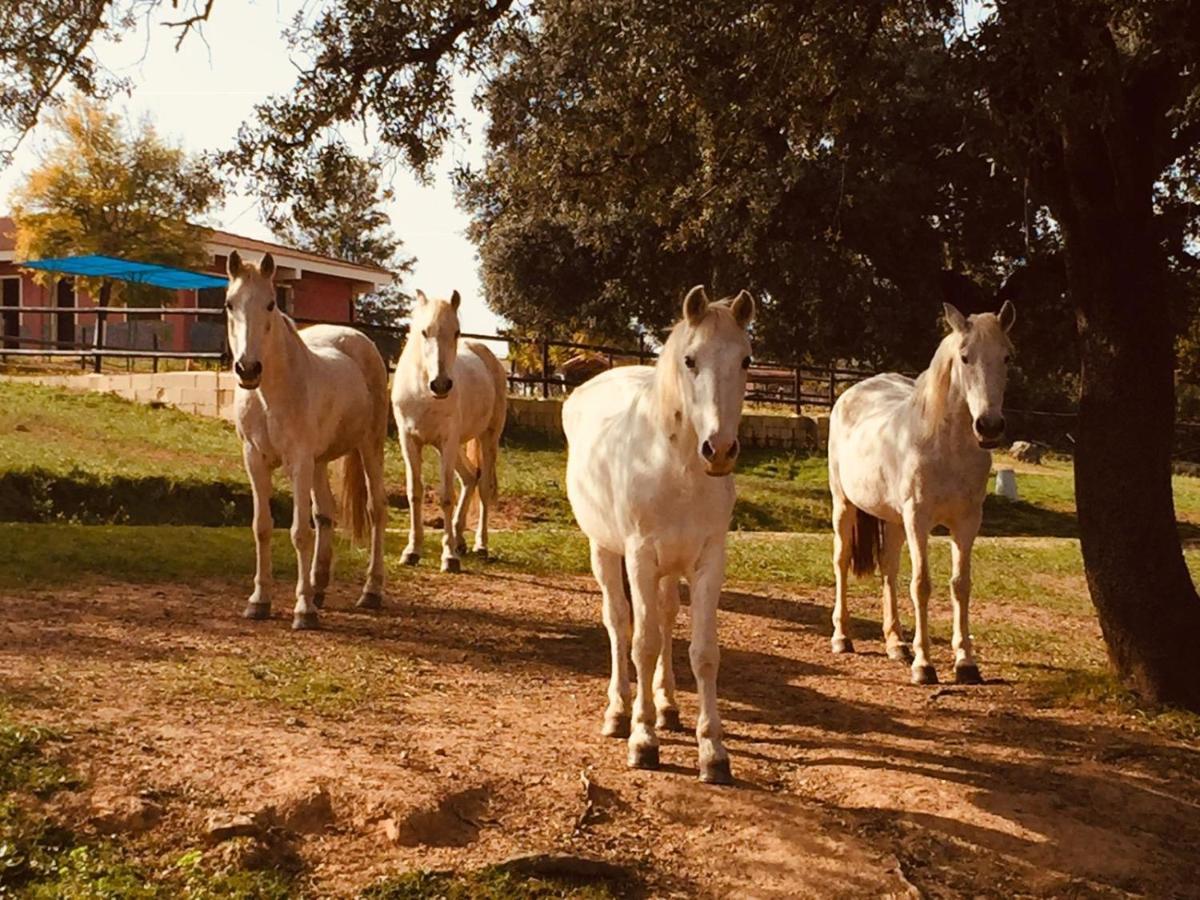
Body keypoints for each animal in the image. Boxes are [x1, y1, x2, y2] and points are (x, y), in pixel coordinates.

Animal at [225, 250, 388, 628]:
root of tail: (358, 340)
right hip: (319, 462)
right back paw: (319, 586)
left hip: (369, 446)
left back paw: (370, 591)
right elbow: (262, 527)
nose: (247, 369)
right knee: (325, 513)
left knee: (376, 510)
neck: (270, 394)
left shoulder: (298, 461)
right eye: (229, 304)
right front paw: (259, 601)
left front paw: (303, 611)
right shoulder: (255, 459)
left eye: (271, 303)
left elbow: (299, 532)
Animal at [393, 292, 506, 573]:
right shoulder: (409, 441)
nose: (441, 384)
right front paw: (412, 551)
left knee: (483, 486)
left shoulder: (448, 440)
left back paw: (480, 545)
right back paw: (460, 540)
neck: (422, 391)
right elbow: (415, 492)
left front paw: (449, 557)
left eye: (456, 332)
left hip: (487, 438)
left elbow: (446, 496)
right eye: (424, 331)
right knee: (469, 478)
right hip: (451, 448)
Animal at [566, 285, 753, 787]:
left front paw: (713, 752)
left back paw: (668, 707)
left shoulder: (708, 562)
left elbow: (703, 652)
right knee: (619, 623)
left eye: (746, 360)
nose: (719, 450)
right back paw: (618, 713)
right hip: (605, 552)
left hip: (670, 568)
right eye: (690, 359)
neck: (676, 467)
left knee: (667, 619)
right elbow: (642, 643)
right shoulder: (640, 557)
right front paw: (643, 739)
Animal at [830, 301, 1017, 681]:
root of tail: (850, 394)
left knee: (888, 567)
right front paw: (924, 665)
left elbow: (960, 584)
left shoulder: (967, 523)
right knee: (841, 561)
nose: (989, 426)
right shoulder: (919, 520)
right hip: (844, 506)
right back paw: (842, 637)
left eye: (1007, 357)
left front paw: (966, 663)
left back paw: (895, 644)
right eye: (964, 357)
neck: (946, 447)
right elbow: (921, 584)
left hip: (893, 521)